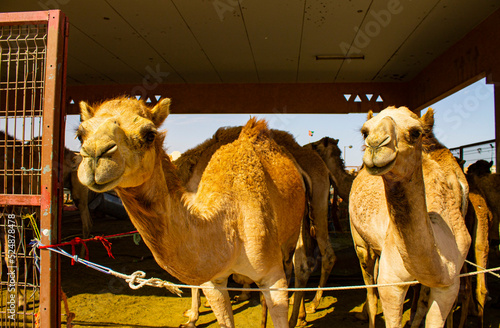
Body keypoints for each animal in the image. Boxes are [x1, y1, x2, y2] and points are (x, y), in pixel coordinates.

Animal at [76, 97, 306, 328]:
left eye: (149, 134)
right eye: (80, 134)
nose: (96, 154)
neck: (229, 229)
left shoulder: (272, 278)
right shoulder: (213, 282)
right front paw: (193, 318)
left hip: (292, 236)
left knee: (297, 266)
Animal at [348, 106, 472, 326]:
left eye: (415, 132)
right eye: (365, 132)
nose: (375, 144)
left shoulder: (449, 285)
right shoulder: (391, 284)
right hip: (360, 242)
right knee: (370, 286)